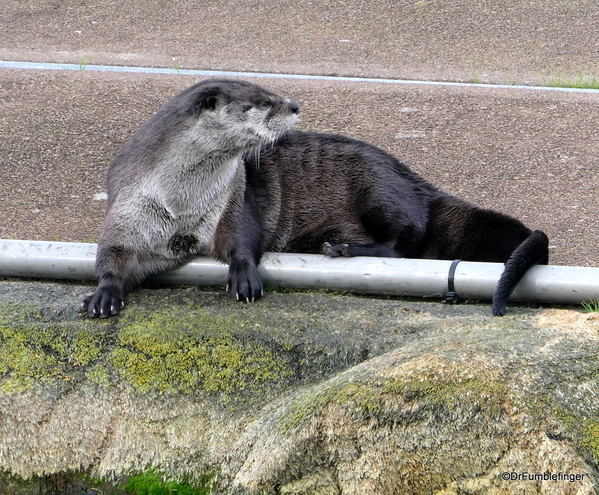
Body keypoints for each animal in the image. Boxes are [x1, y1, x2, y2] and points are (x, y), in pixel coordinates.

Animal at [82, 77, 300, 318]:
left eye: (270, 91)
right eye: (264, 102)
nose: (295, 106)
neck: (180, 205)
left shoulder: (232, 198)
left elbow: (242, 236)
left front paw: (244, 276)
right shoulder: (127, 206)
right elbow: (113, 251)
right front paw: (105, 293)